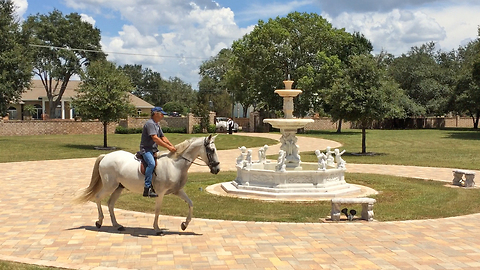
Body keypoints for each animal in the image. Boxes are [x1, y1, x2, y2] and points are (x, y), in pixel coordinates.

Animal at [75, 134, 221, 234]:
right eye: (212, 150)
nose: (217, 169)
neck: (175, 164)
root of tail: (106, 156)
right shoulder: (160, 193)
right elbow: (157, 210)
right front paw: (157, 229)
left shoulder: (177, 191)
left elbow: (190, 204)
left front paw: (184, 224)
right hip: (109, 186)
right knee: (98, 197)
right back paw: (99, 222)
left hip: (119, 187)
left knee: (110, 204)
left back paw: (117, 225)